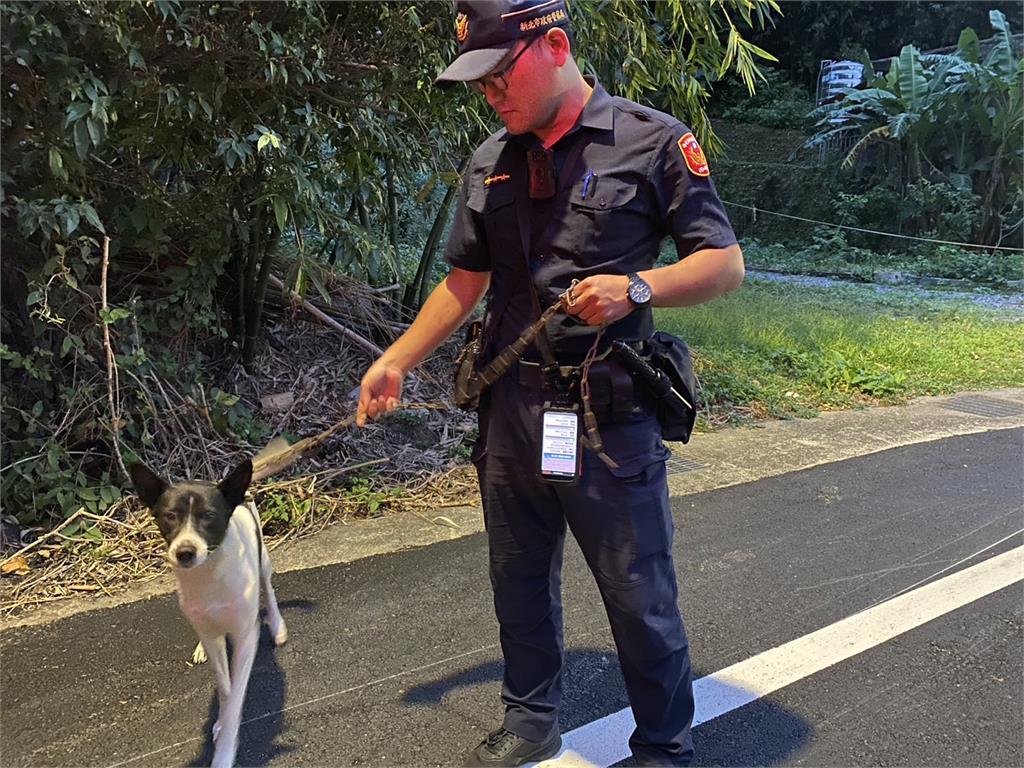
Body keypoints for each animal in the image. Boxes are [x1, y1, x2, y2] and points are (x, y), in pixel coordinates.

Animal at [130, 460, 288, 765]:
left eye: (208, 516)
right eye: (170, 516)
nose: (185, 552)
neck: (210, 574)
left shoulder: (245, 637)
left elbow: (236, 696)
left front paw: (224, 751)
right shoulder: (211, 633)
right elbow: (225, 688)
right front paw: (220, 723)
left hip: (263, 560)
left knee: (269, 588)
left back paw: (277, 627)